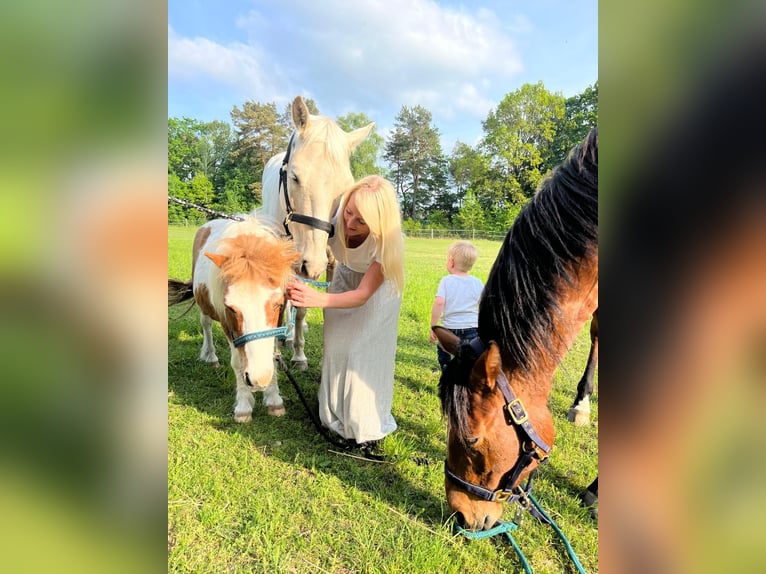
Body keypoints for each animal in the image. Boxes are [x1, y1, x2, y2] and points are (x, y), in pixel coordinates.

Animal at [170, 216, 300, 424]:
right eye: (230, 308)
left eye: (278, 304)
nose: (258, 379)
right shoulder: (227, 323)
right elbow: (237, 362)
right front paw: (243, 407)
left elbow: (272, 355)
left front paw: (274, 401)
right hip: (203, 306)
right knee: (206, 325)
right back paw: (211, 357)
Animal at [260, 96, 376, 372]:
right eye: (295, 177)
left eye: (345, 186)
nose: (312, 263)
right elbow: (284, 305)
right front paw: (282, 354)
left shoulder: (330, 264)